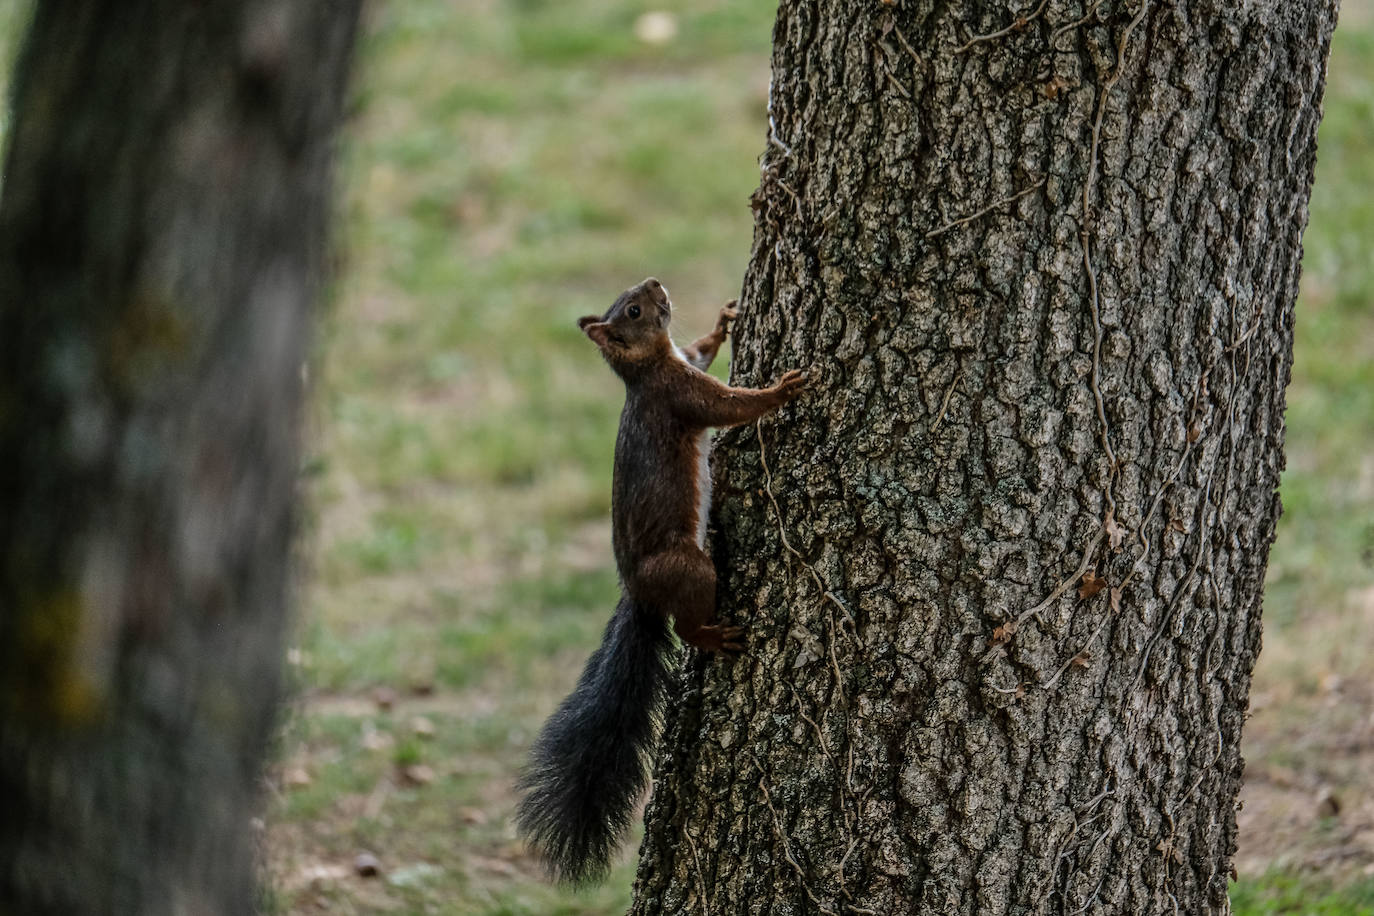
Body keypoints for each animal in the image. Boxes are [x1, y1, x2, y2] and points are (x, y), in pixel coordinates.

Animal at [519, 277, 807, 878]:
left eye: (633, 293)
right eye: (633, 310)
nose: (654, 283)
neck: (649, 366)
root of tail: (639, 593)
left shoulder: (685, 362)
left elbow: (700, 348)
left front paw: (722, 322)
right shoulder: (680, 393)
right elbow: (729, 405)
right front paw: (781, 391)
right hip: (688, 567)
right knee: (687, 623)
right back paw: (714, 636)